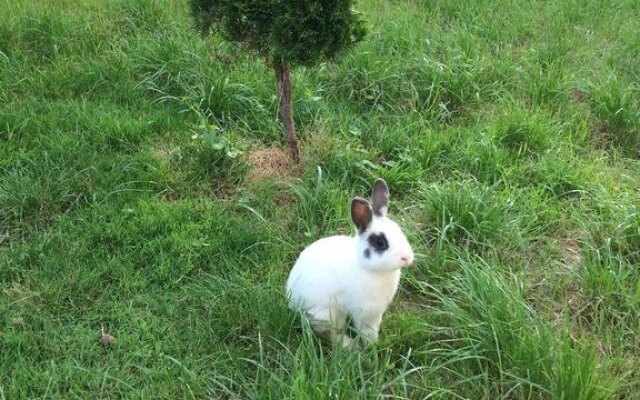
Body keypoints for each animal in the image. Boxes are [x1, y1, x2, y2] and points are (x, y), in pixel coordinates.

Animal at [284, 179, 416, 346]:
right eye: (380, 242)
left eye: (399, 231)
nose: (407, 257)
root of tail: (292, 302)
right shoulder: (363, 311)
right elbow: (365, 331)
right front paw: (370, 346)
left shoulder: (375, 313)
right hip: (327, 314)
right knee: (330, 334)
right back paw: (350, 346)